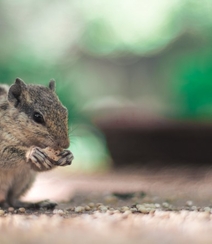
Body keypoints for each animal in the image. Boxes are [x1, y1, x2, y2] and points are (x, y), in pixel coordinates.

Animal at [0, 78, 73, 210]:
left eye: (65, 111)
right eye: (37, 117)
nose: (65, 145)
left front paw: (68, 155)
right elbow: (4, 154)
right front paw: (32, 152)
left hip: (24, 179)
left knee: (12, 200)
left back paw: (36, 203)